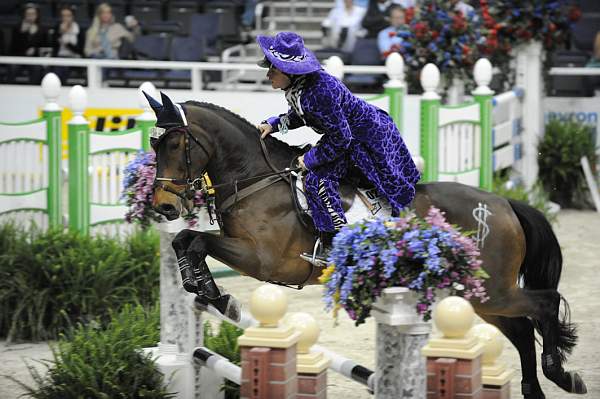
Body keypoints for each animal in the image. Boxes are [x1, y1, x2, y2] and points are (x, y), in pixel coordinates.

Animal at [144, 92, 584, 398]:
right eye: (154, 146)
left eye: (175, 146)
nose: (163, 207)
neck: (255, 179)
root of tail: (504, 203)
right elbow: (185, 240)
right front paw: (204, 289)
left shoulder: (264, 260)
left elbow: (198, 241)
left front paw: (217, 295)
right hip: (481, 295)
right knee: (522, 329)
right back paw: (538, 388)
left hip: (493, 290)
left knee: (543, 305)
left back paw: (560, 373)